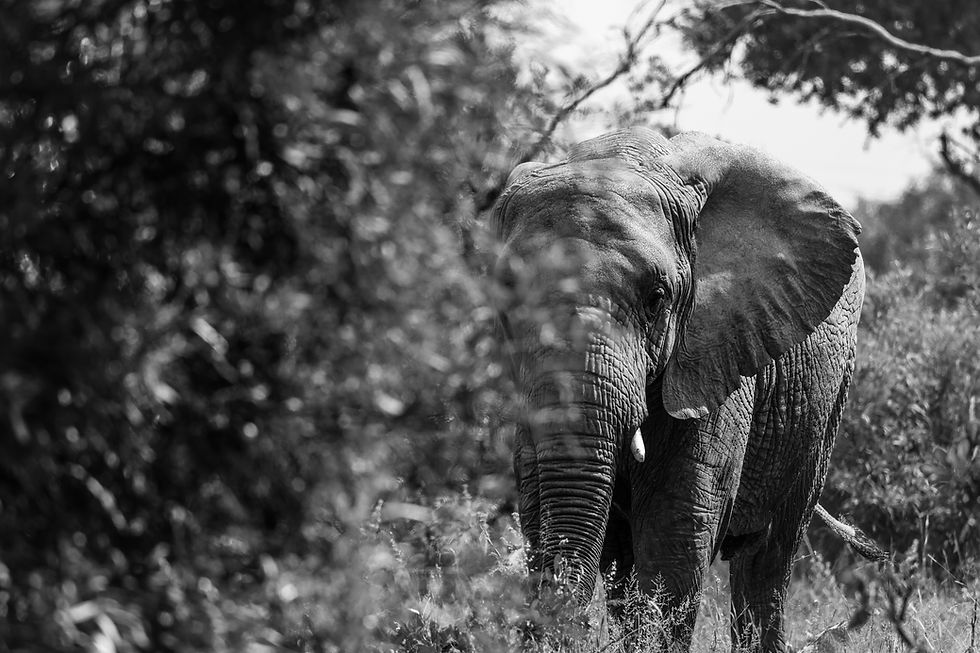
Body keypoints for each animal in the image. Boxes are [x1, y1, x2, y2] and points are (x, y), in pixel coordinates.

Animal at [490, 128, 884, 652]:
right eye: (508, 294)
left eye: (656, 299)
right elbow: (538, 500)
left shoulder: (717, 349)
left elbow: (673, 525)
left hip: (828, 399)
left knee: (767, 561)